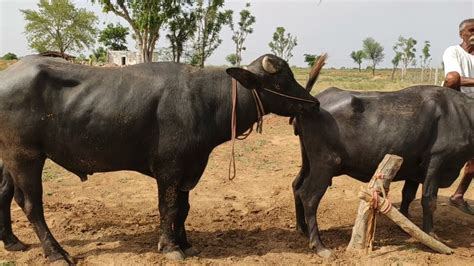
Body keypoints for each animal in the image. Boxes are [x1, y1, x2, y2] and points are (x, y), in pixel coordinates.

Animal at [0, 53, 318, 262]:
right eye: (281, 83)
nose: (313, 104)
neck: (204, 100)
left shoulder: (190, 167)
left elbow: (183, 208)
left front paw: (185, 242)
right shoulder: (169, 169)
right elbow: (169, 207)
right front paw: (170, 247)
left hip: (8, 158)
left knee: (4, 193)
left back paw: (12, 241)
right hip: (25, 157)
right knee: (31, 205)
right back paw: (56, 252)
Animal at [294, 61, 472, 256]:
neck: (462, 113)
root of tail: (313, 101)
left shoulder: (414, 168)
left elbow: (408, 195)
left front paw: (406, 222)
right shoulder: (437, 162)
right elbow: (429, 200)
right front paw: (431, 234)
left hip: (308, 162)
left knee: (296, 186)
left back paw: (302, 228)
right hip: (326, 164)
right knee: (309, 196)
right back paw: (318, 245)